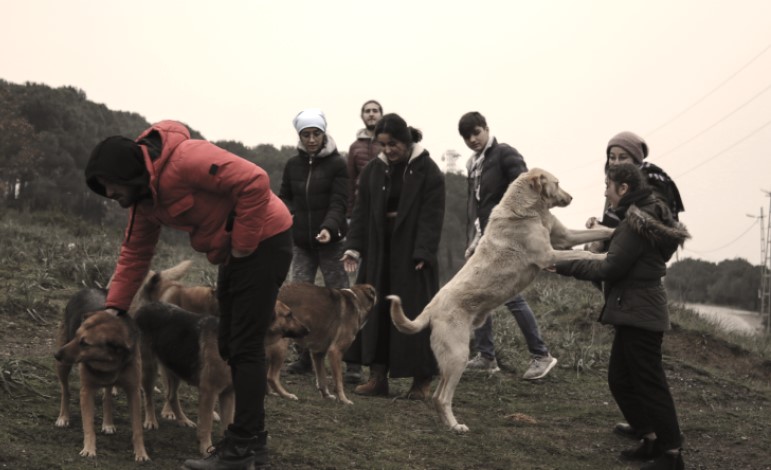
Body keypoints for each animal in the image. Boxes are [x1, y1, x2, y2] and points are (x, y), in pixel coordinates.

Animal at [54, 288, 149, 460]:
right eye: (76, 335)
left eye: (85, 343)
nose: (56, 354)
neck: (108, 361)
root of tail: (86, 288)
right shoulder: (86, 390)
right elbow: (88, 425)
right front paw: (89, 449)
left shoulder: (134, 391)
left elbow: (137, 428)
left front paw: (141, 453)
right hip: (62, 366)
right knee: (65, 391)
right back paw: (63, 417)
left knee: (107, 396)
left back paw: (108, 423)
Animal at [392, 167, 616, 432]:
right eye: (557, 183)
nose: (571, 197)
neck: (528, 210)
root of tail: (430, 307)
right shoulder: (549, 255)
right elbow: (586, 253)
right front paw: (605, 255)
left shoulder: (565, 237)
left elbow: (599, 232)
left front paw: (624, 226)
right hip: (458, 355)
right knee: (442, 397)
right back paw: (456, 426)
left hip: (452, 358)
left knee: (438, 396)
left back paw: (449, 424)